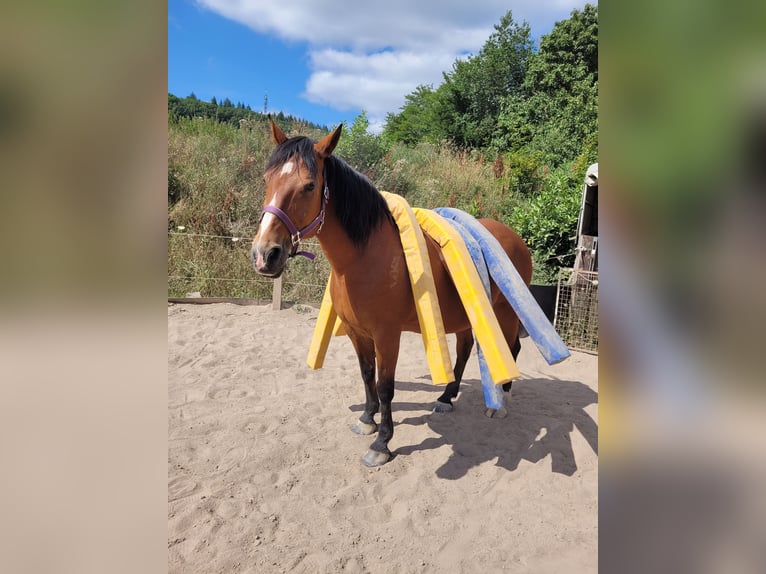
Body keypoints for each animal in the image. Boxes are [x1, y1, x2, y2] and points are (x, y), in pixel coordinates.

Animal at [254, 120, 536, 468]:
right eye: (267, 179)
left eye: (309, 186)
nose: (265, 254)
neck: (364, 257)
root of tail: (514, 237)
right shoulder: (358, 333)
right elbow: (367, 376)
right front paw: (366, 419)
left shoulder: (387, 334)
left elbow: (385, 386)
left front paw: (382, 443)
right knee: (465, 349)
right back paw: (446, 397)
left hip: (506, 313)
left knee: (510, 347)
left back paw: (501, 399)